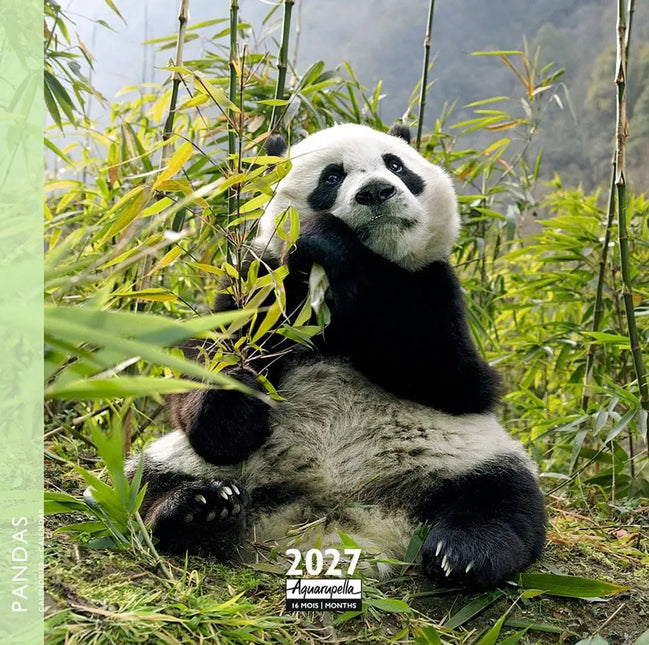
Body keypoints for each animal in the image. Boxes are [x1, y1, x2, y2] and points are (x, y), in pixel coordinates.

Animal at [129, 123, 546, 588]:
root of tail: (334, 514)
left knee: (503, 494)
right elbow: (206, 355)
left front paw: (330, 241)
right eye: (331, 177)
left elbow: (451, 374)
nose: (377, 191)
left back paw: (464, 551)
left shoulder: (435, 284)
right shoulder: (260, 279)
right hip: (198, 460)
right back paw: (199, 508)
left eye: (395, 165)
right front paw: (233, 417)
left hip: (458, 452)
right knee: (145, 480)